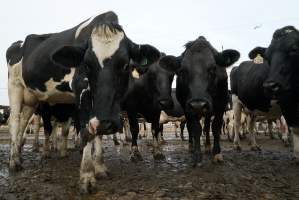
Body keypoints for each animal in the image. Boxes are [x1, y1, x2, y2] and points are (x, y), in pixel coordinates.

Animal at [5, 10, 161, 192]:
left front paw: (99, 168)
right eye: (87, 65)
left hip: (31, 98)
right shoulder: (81, 90)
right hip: (14, 86)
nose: (108, 122)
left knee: (23, 122)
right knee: (14, 122)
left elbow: (97, 131)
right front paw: (87, 176)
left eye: (125, 65)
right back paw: (13, 162)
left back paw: (18, 155)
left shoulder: (100, 110)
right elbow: (86, 129)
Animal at [162, 36, 241, 166]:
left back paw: (208, 146)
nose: (198, 105)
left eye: (213, 68)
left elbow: (215, 127)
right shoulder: (189, 108)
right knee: (190, 127)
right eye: (182, 71)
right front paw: (197, 155)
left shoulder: (221, 105)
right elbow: (196, 129)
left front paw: (217, 154)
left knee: (208, 126)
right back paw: (191, 146)